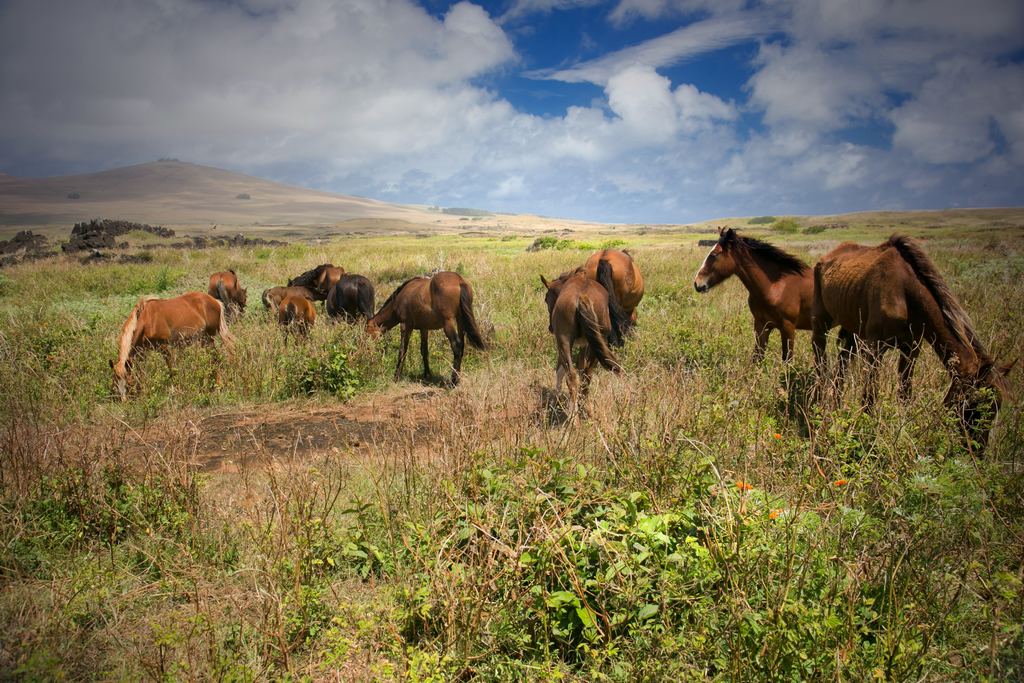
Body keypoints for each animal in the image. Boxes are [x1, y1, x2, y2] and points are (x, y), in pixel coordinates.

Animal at [540, 266, 626, 403]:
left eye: (546, 299)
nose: (550, 328)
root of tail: (582, 297)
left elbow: (560, 370)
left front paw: (556, 399)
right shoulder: (585, 345)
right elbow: (581, 368)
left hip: (564, 341)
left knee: (572, 376)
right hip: (598, 343)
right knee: (589, 374)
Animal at [692, 227, 811, 360]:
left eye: (714, 254)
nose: (697, 283)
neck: (775, 287)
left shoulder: (788, 328)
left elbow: (787, 359)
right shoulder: (761, 325)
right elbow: (757, 357)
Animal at [811, 235, 1011, 448]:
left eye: (997, 407)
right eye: (974, 404)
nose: (977, 449)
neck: (905, 292)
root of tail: (826, 257)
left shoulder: (911, 350)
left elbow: (905, 393)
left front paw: (904, 428)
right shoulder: (874, 348)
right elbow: (870, 394)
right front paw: (866, 432)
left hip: (852, 329)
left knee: (843, 362)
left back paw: (835, 403)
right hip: (822, 321)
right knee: (820, 355)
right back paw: (818, 399)